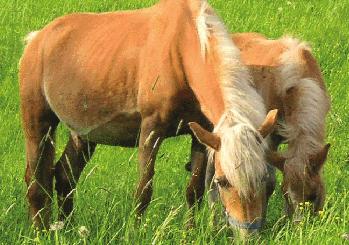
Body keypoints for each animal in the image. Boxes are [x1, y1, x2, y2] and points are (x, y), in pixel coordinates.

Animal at [19, 0, 278, 235]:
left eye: (264, 178)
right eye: (223, 181)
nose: (248, 232)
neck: (181, 50)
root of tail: (38, 38)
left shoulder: (200, 134)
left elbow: (194, 190)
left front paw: (189, 233)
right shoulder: (151, 131)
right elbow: (144, 189)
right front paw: (135, 232)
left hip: (83, 134)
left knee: (65, 176)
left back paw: (67, 229)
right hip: (38, 125)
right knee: (36, 181)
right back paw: (40, 232)